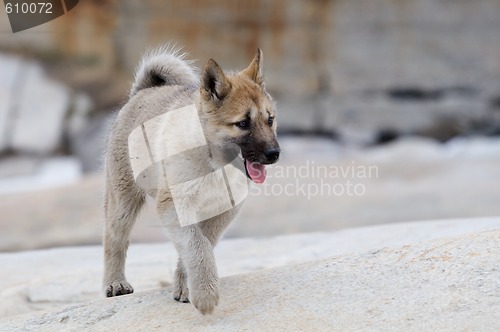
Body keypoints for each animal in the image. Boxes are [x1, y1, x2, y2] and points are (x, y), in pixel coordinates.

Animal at [103, 46, 280, 314]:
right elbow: (197, 246)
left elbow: (202, 243)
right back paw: (115, 283)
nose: (274, 154)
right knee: (114, 240)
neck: (213, 162)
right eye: (242, 124)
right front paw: (205, 293)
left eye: (270, 120)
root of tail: (142, 91)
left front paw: (187, 286)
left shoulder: (223, 212)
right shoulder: (174, 207)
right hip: (122, 201)